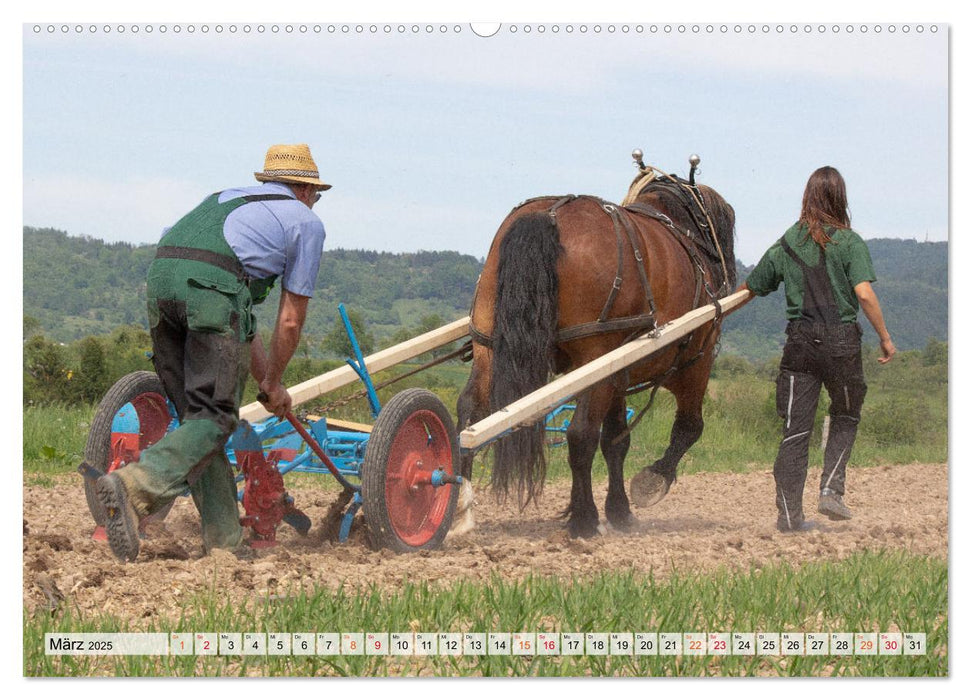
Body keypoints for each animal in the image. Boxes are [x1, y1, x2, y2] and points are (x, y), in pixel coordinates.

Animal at [458, 168, 736, 536]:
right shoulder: (694, 364)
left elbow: (616, 441)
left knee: (469, 418)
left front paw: (619, 510)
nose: (730, 276)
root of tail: (547, 215)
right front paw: (651, 482)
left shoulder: (618, 372)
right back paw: (584, 519)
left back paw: (459, 505)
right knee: (580, 434)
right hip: (595, 357)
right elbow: (689, 427)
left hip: (489, 348)